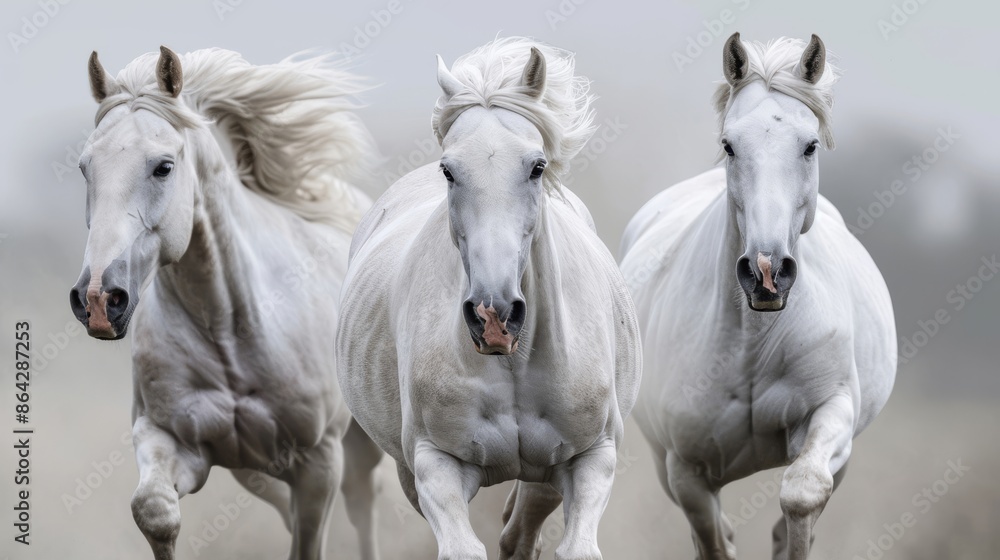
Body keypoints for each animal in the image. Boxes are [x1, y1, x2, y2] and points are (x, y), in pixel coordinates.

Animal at [69, 46, 384, 560]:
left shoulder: (319, 462)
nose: (98, 298)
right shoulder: (169, 439)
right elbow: (154, 511)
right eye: (84, 167)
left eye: (163, 166)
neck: (227, 325)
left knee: (364, 501)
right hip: (254, 471)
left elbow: (309, 541)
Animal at [336, 37, 641, 560]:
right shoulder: (436, 464)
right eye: (449, 170)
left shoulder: (591, 457)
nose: (494, 316)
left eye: (537, 166)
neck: (514, 364)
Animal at [619, 34, 896, 559]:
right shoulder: (685, 472)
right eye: (729, 145)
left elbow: (802, 494)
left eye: (809, 146)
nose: (766, 273)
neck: (753, 342)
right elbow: (714, 541)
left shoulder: (832, 413)